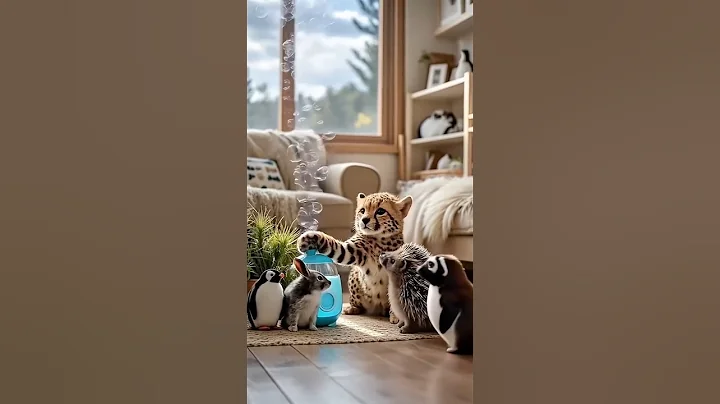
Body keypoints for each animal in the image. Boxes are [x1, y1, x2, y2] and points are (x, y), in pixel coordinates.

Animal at [296, 192, 413, 323]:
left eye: (380, 211)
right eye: (362, 210)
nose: (364, 220)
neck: (379, 239)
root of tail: (378, 308)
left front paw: (396, 316)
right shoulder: (351, 251)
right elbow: (333, 245)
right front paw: (307, 238)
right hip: (355, 278)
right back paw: (352, 308)